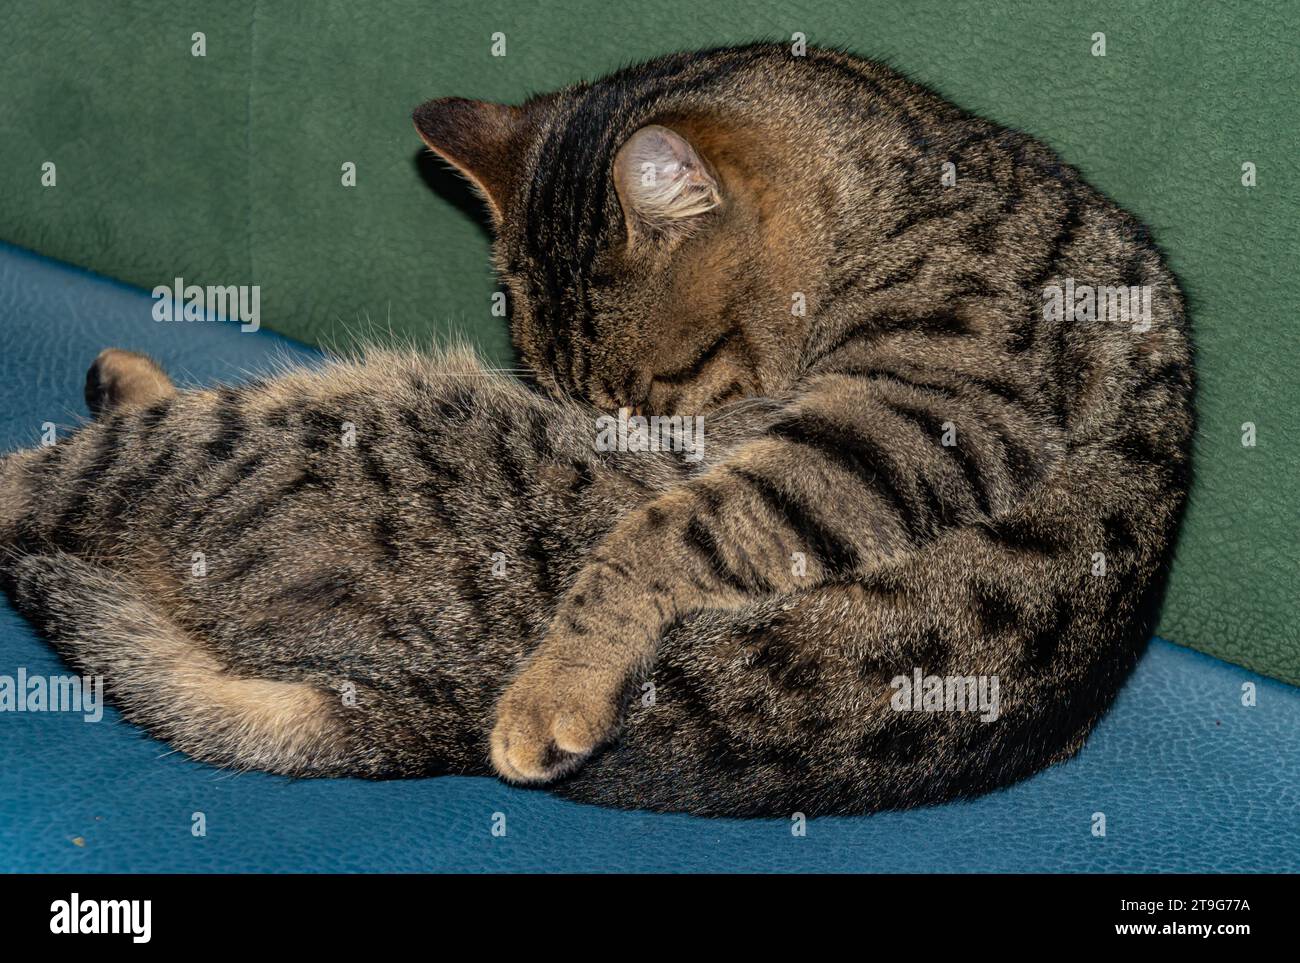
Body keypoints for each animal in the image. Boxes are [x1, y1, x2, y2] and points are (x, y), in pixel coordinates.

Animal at [0, 43, 1190, 810]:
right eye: (564, 386)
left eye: (653, 390)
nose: (616, 446)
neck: (909, 187)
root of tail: (408, 711)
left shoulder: (918, 416)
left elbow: (668, 530)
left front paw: (555, 687)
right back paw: (125, 372)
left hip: (321, 428)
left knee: (41, 488)